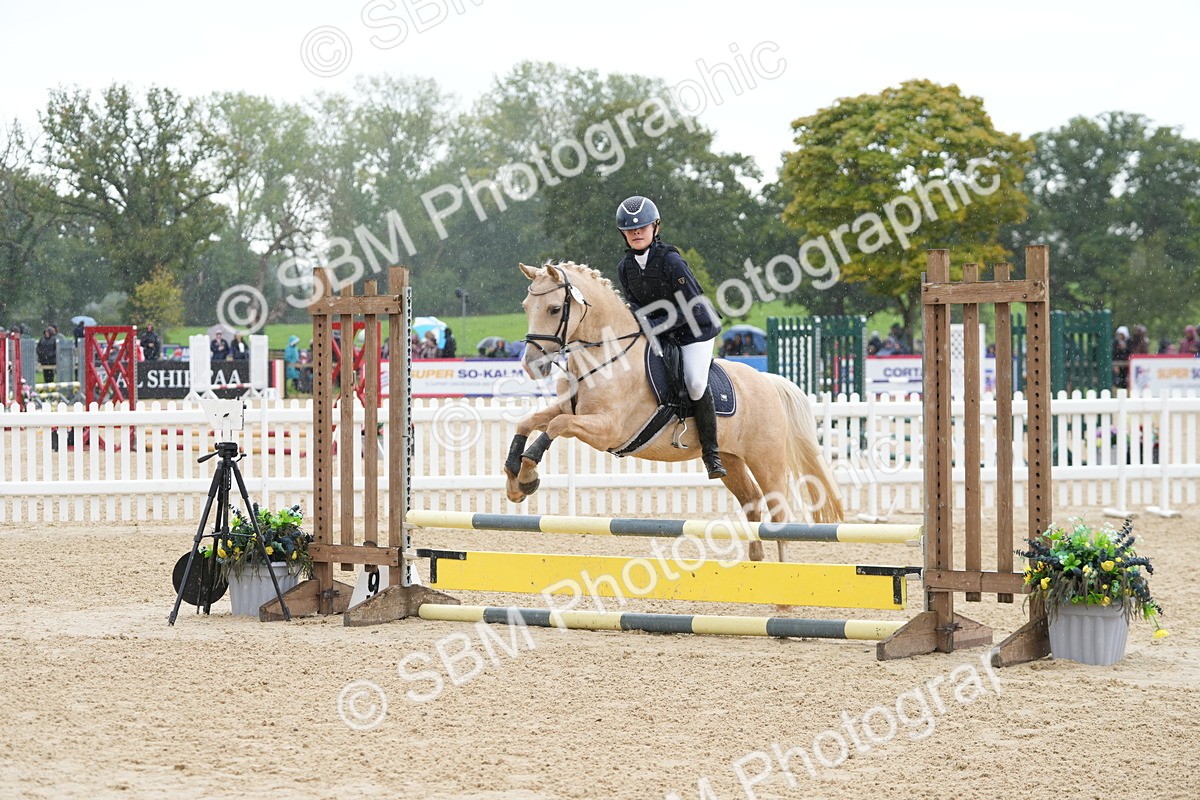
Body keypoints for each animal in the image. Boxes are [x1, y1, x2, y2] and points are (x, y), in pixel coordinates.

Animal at [502, 261, 844, 561]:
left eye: (554, 309)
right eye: (525, 307)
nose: (531, 365)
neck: (605, 356)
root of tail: (769, 381)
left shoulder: (607, 429)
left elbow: (557, 426)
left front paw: (528, 474)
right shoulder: (572, 411)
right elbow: (528, 422)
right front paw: (514, 481)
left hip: (767, 460)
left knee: (779, 514)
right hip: (731, 459)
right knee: (752, 502)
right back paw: (755, 561)